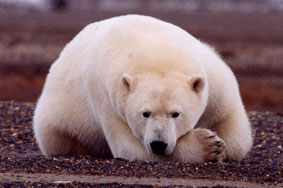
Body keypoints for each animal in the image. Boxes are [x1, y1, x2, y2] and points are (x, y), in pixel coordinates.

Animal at [32, 14, 253, 162]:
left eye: (176, 113)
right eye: (145, 113)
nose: (158, 144)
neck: (155, 51)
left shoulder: (215, 79)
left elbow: (235, 135)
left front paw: (220, 144)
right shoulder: (108, 99)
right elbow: (130, 148)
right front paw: (209, 146)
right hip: (57, 124)